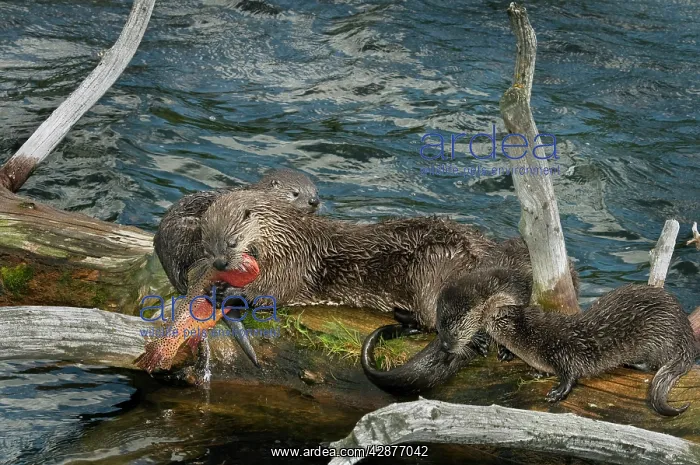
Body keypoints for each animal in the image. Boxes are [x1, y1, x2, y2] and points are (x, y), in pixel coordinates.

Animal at [438, 281, 698, 416]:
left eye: (492, 314)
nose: (483, 312)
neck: (538, 339)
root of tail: (686, 334)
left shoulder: (564, 351)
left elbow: (571, 375)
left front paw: (556, 392)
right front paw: (537, 372)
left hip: (660, 340)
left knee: (653, 364)